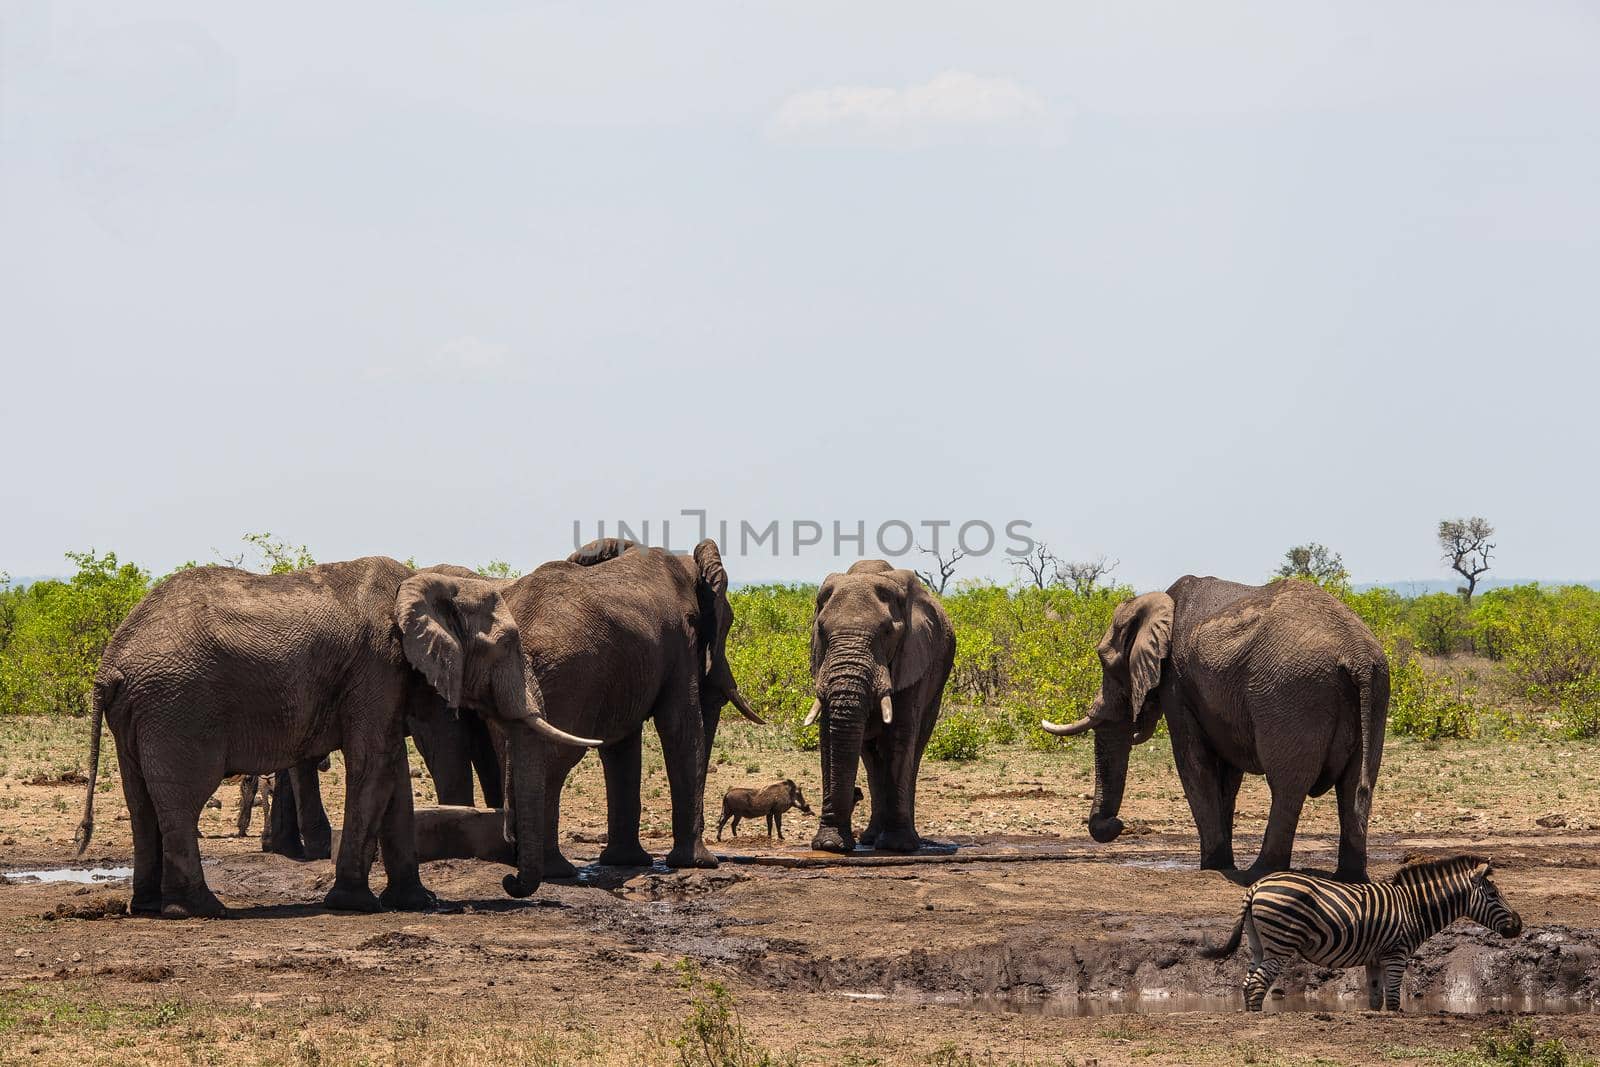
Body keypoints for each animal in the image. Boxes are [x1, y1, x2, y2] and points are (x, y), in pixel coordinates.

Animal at [76, 559, 601, 921]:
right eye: (508, 645)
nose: (511, 879)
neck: (422, 581)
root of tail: (110, 665)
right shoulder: (376, 667)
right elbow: (375, 766)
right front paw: (356, 903)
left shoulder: (388, 678)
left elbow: (393, 774)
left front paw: (416, 902)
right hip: (178, 709)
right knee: (183, 799)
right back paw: (203, 909)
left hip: (142, 713)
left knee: (141, 801)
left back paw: (147, 906)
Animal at [492, 537, 761, 895]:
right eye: (728, 623)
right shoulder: (680, 642)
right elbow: (680, 727)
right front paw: (700, 863)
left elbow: (620, 745)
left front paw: (626, 862)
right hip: (569, 678)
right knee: (555, 762)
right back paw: (552, 871)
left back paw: (528, 868)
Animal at [806, 559, 953, 851]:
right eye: (822, 631)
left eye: (887, 632)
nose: (855, 795)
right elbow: (829, 735)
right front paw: (830, 845)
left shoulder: (913, 656)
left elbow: (900, 733)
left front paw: (897, 846)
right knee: (871, 757)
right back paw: (870, 838)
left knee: (914, 747)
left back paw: (905, 839)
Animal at [1036, 579, 1388, 883]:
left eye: (1105, 661)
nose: (1115, 825)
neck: (1162, 603)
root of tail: (1357, 654)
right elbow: (1226, 776)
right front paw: (1220, 861)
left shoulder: (1176, 682)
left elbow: (1193, 762)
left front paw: (1212, 865)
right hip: (1375, 693)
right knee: (1356, 784)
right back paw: (1350, 877)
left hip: (1293, 692)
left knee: (1287, 785)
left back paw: (1259, 872)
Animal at [1203, 857, 1523, 1017]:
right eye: (1494, 895)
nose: (1519, 925)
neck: (1414, 907)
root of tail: (1255, 886)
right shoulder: (1396, 954)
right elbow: (1392, 1000)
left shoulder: (1375, 959)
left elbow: (1375, 998)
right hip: (1281, 942)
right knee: (1258, 983)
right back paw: (1259, 1017)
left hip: (1258, 943)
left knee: (1248, 982)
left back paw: (1248, 1014)